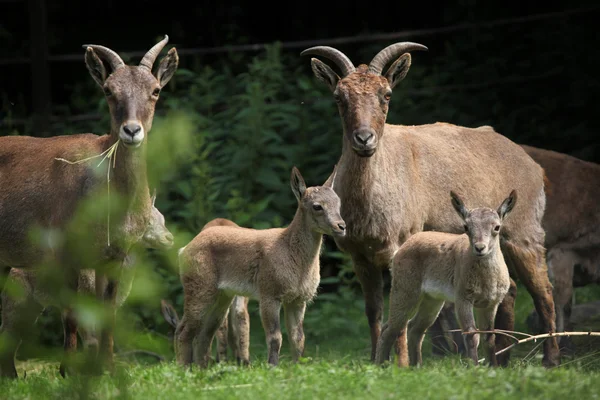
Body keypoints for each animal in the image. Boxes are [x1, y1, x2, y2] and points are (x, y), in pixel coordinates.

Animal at [376, 190, 516, 366]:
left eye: (497, 227)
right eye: (466, 226)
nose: (480, 248)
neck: (486, 281)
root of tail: (397, 253)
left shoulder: (491, 303)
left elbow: (489, 337)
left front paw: (493, 367)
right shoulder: (463, 297)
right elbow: (471, 334)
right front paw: (475, 366)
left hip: (432, 299)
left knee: (416, 327)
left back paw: (417, 366)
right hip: (405, 289)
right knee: (390, 328)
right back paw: (381, 364)